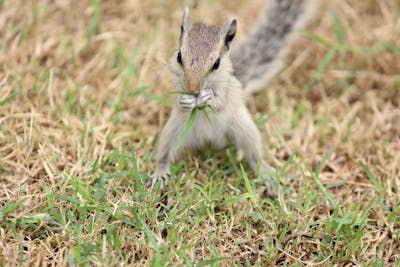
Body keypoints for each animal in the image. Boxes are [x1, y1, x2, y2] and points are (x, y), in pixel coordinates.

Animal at [148, 0, 314, 199]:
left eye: (217, 63)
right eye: (179, 56)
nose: (193, 89)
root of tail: (209, 139)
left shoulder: (227, 89)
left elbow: (219, 102)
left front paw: (206, 98)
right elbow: (177, 102)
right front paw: (185, 100)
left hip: (244, 128)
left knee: (254, 156)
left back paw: (266, 174)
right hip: (173, 131)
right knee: (165, 154)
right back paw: (159, 173)